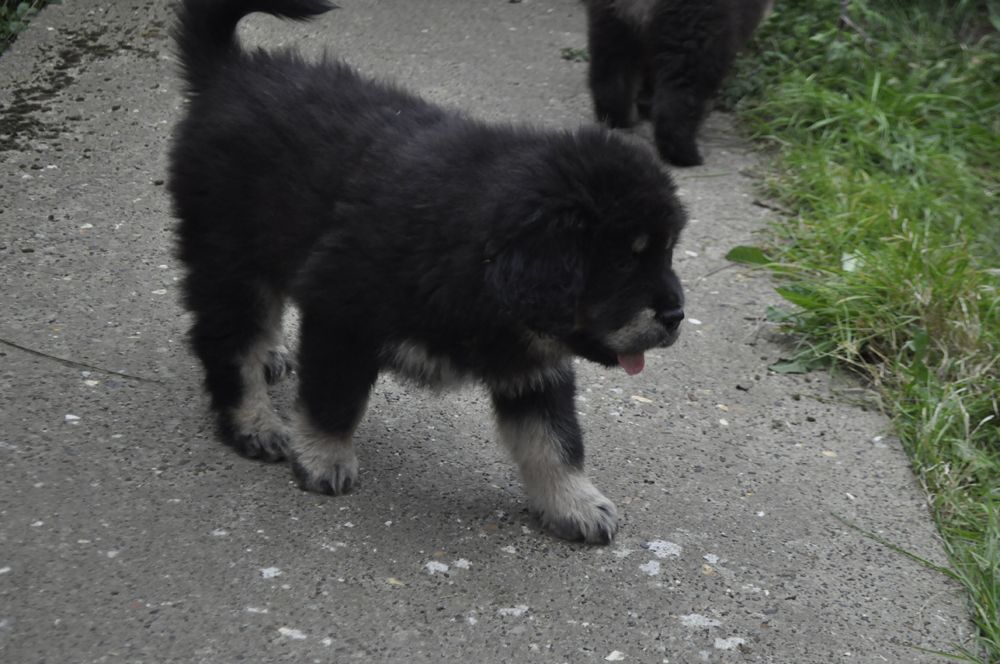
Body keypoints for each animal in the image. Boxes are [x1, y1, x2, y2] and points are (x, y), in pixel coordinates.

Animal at [170, 0, 688, 544]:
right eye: (623, 260)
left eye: (668, 253)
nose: (676, 315)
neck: (481, 260)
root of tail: (229, 71)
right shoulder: (342, 314)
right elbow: (334, 398)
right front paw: (323, 457)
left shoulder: (533, 365)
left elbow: (553, 440)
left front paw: (575, 503)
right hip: (228, 252)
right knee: (229, 340)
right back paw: (254, 422)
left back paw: (269, 358)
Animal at [584, 0, 772, 166]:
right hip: (693, 32)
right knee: (679, 100)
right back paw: (686, 154)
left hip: (611, 22)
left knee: (610, 75)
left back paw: (617, 119)